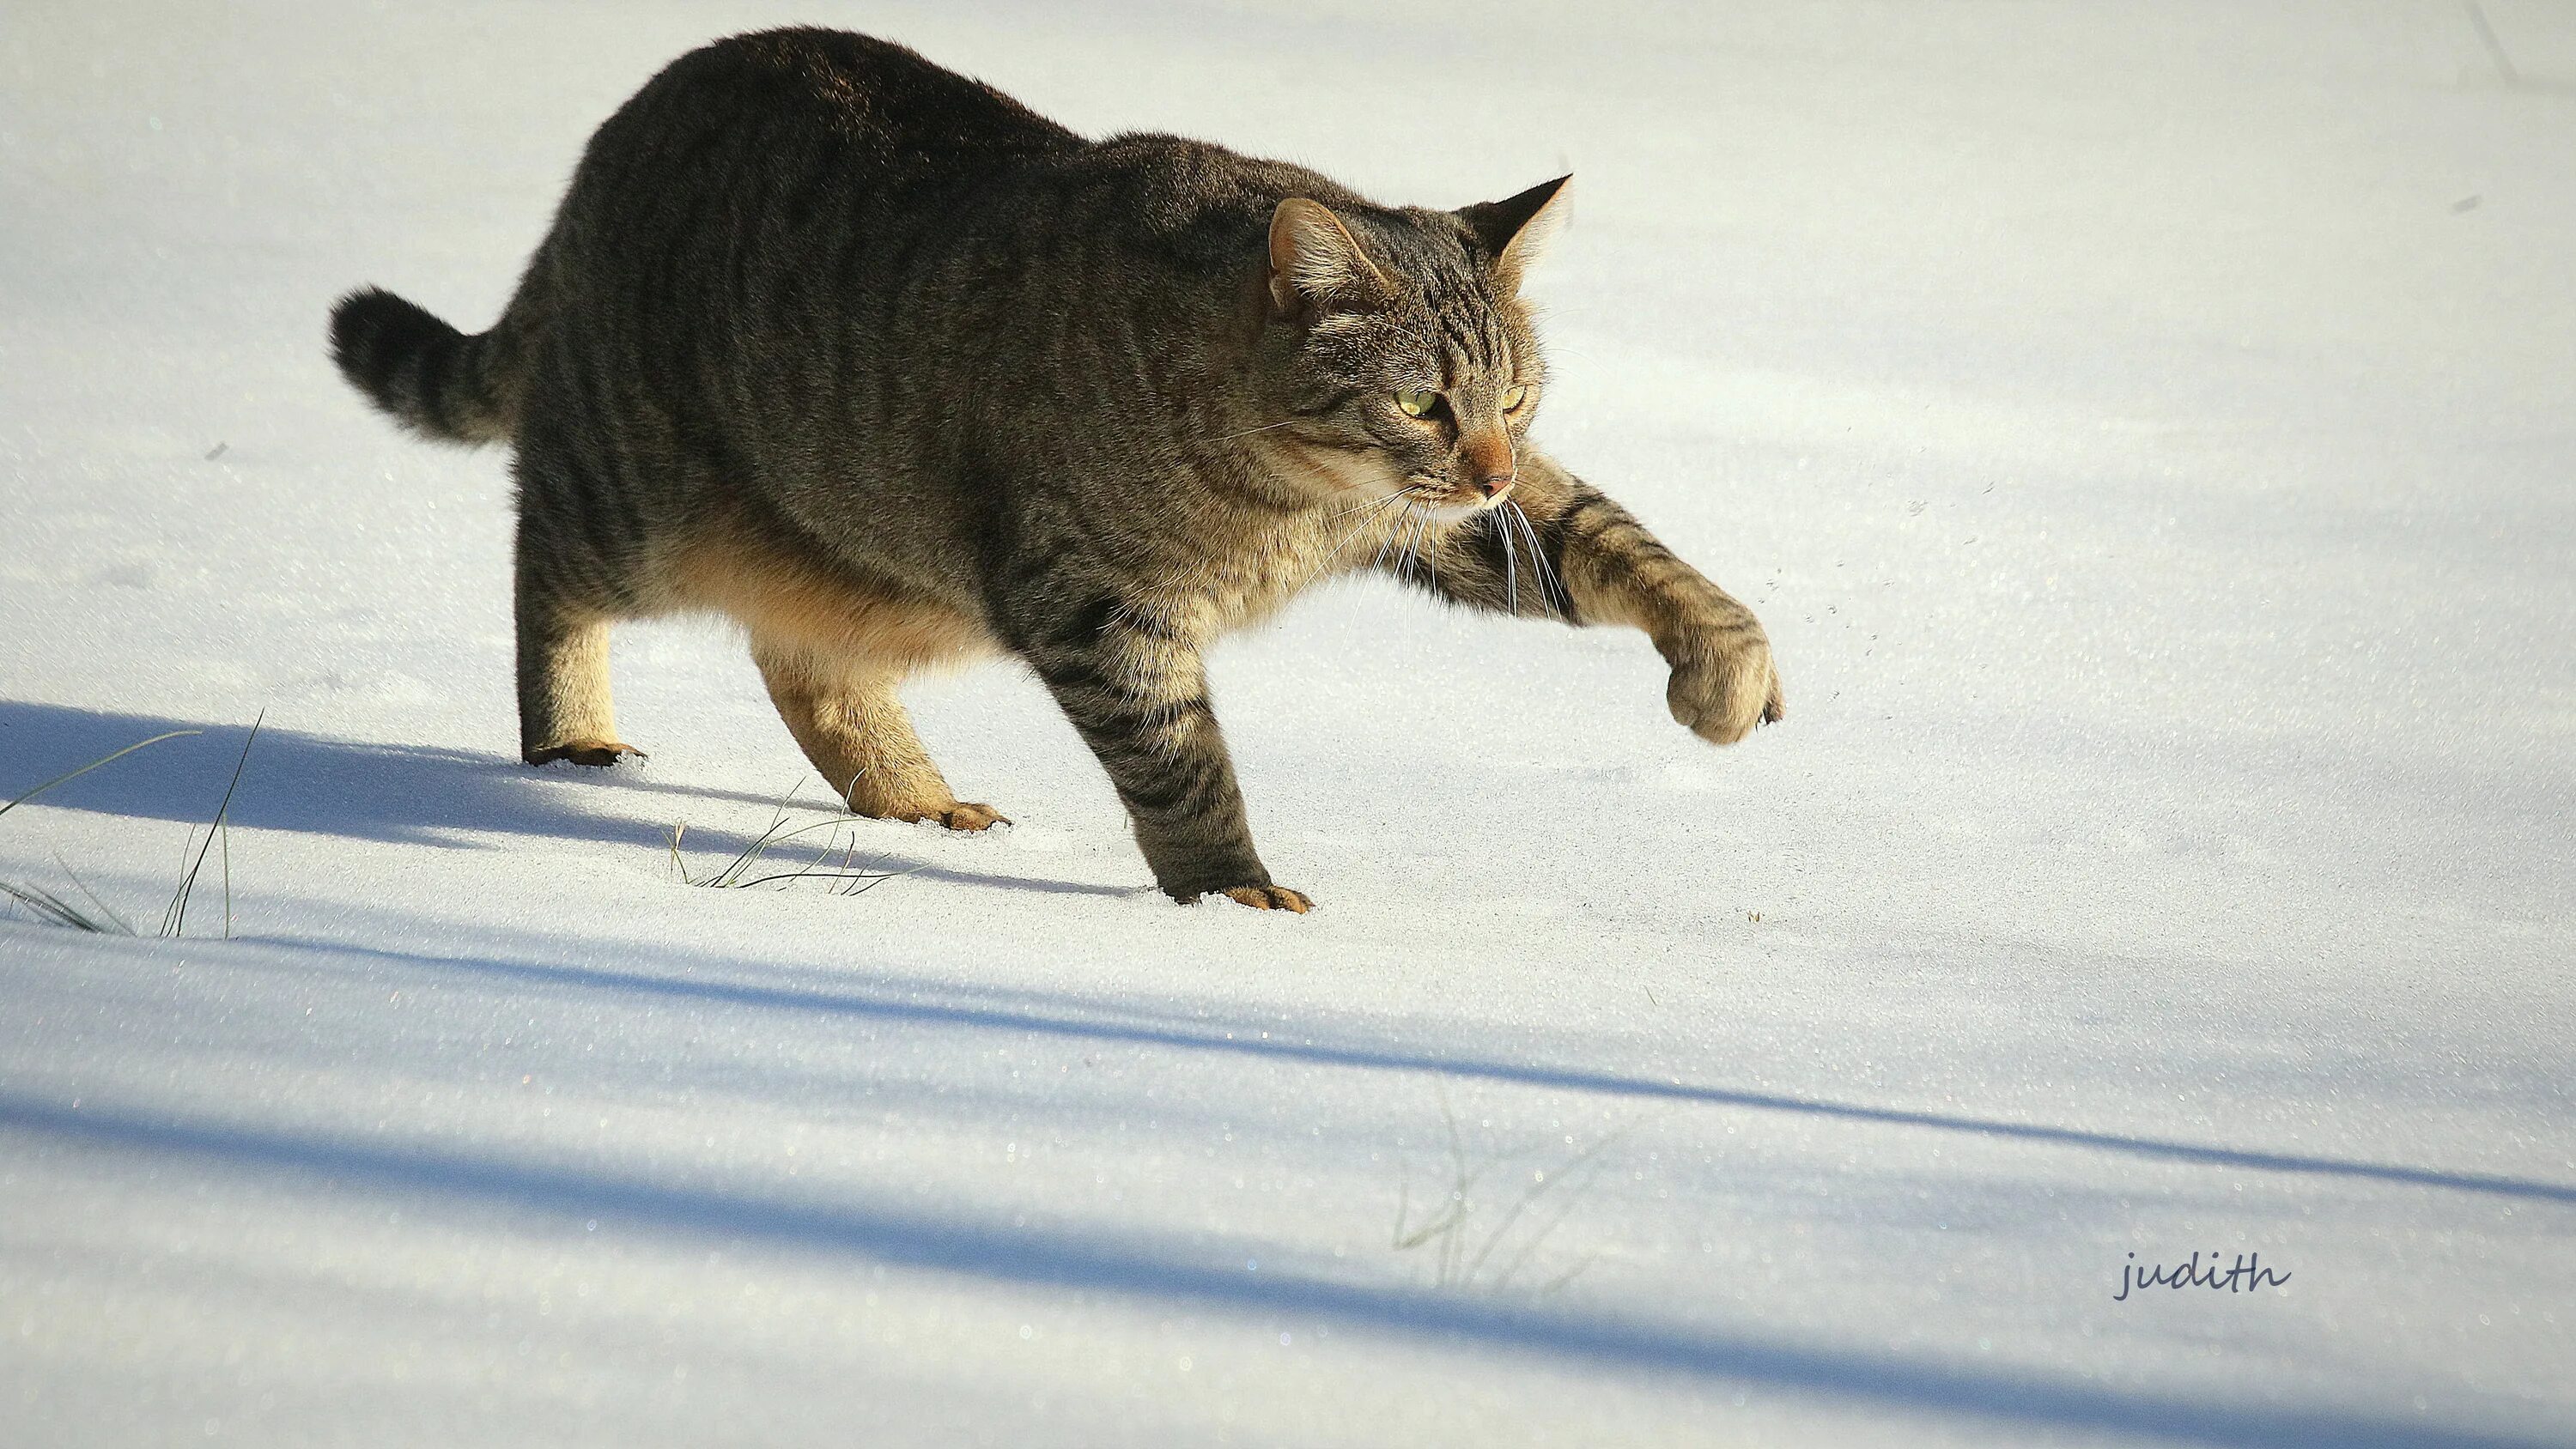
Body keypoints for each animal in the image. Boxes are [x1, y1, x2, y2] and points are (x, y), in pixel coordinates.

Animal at [332, 27, 1783, 911]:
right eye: (1421, 401)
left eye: (1516, 398)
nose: (1483, 464)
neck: (1291, 496)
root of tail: (610, 138)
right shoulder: (1096, 603)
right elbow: (1184, 762)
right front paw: (1231, 894)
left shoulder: (1453, 520)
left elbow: (1625, 543)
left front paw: (1726, 671)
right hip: (635, 489)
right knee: (545, 562)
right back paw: (574, 738)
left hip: (868, 554)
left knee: (805, 661)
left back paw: (915, 801)